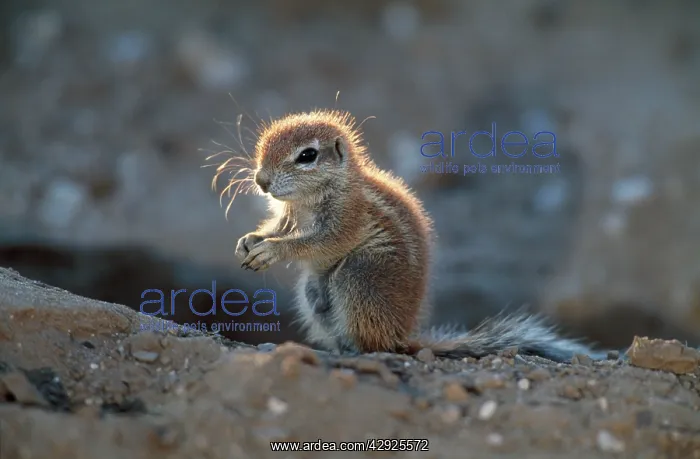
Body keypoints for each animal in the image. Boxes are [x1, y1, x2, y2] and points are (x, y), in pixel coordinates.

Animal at [229, 109, 607, 363]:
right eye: (263, 144)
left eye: (306, 155)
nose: (261, 180)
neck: (309, 198)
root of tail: (403, 336)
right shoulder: (287, 215)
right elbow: (277, 227)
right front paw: (250, 240)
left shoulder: (347, 217)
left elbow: (320, 242)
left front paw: (273, 250)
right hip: (311, 294)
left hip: (360, 274)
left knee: (376, 344)